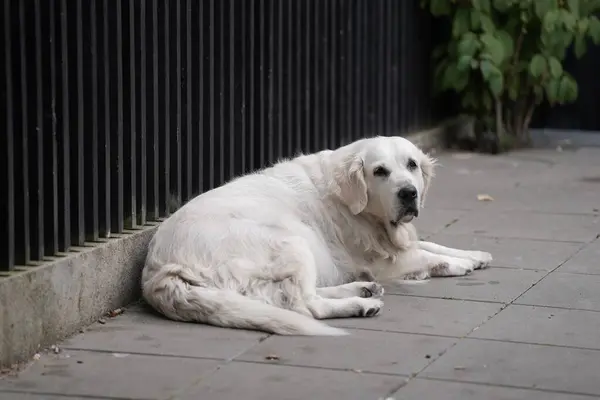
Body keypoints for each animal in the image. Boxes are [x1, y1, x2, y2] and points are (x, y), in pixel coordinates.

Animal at [142, 136, 492, 336]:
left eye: (412, 165)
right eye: (380, 171)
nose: (409, 193)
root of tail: (159, 271)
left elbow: (429, 243)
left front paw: (475, 255)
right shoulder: (383, 262)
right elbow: (426, 255)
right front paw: (458, 265)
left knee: (299, 296)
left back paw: (361, 290)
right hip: (290, 240)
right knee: (303, 305)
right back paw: (360, 304)